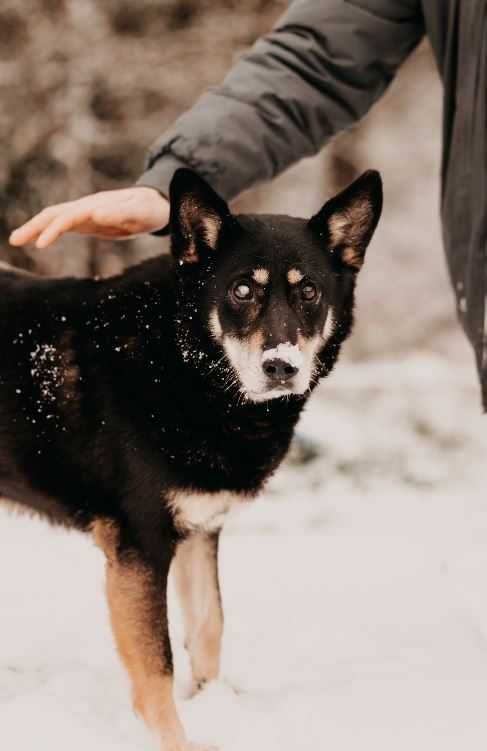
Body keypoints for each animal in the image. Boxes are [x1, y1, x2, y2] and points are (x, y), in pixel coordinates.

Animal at [0, 169, 382, 751]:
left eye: (309, 291)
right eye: (241, 290)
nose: (281, 367)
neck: (185, 366)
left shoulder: (201, 530)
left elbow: (208, 626)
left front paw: (214, 701)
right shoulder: (139, 546)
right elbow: (156, 664)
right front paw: (176, 739)